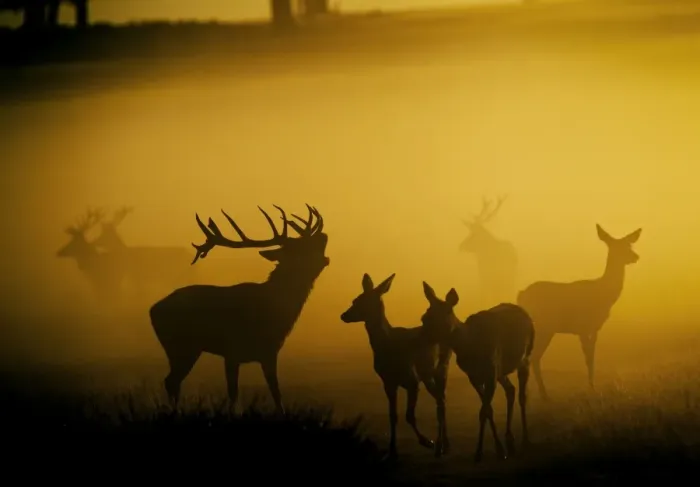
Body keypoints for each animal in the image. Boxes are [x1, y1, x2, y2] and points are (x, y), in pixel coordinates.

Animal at [149, 204, 329, 413]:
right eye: (300, 247)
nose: (323, 234)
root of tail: (152, 310)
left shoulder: (269, 352)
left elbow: (276, 394)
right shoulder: (232, 350)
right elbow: (234, 394)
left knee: (173, 381)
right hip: (183, 345)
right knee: (171, 381)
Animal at [340, 273, 453, 459]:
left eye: (361, 301)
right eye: (355, 299)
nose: (344, 315)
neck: (389, 345)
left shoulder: (412, 380)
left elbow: (409, 415)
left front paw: (427, 441)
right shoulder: (388, 382)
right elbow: (393, 415)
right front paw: (392, 450)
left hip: (441, 368)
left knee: (441, 400)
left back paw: (441, 446)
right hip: (428, 375)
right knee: (440, 398)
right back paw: (445, 445)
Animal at [421, 283, 534, 463]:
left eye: (446, 313)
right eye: (424, 317)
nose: (421, 338)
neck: (470, 344)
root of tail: (524, 313)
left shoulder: (490, 372)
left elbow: (484, 411)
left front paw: (488, 451)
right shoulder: (474, 375)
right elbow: (487, 410)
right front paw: (497, 449)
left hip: (525, 357)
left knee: (522, 396)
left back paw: (525, 441)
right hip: (501, 371)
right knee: (511, 390)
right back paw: (510, 440)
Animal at [517, 224, 642, 401]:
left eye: (629, 245)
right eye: (616, 247)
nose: (635, 256)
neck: (603, 294)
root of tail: (521, 296)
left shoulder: (594, 328)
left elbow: (592, 357)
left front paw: (593, 387)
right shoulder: (583, 327)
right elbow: (587, 358)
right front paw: (592, 389)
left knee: (528, 357)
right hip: (544, 326)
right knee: (533, 357)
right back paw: (543, 395)